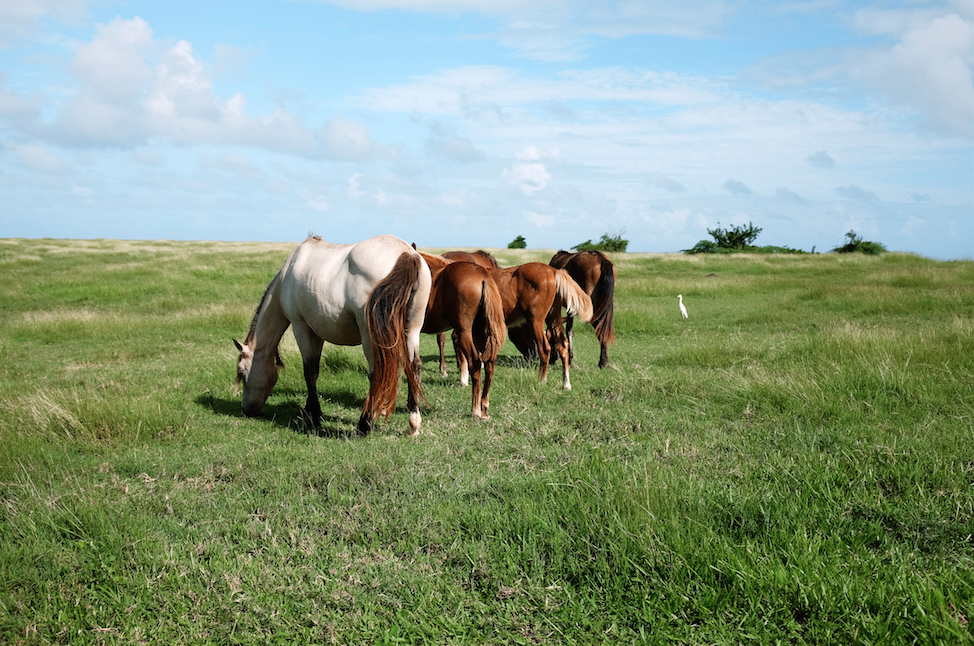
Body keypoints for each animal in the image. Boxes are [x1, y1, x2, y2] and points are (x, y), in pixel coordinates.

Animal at [233, 235, 432, 436]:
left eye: (241, 372)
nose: (247, 410)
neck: (286, 276)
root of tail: (406, 253)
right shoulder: (317, 332)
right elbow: (314, 371)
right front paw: (308, 410)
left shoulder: (301, 327)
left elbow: (309, 372)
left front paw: (315, 416)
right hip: (411, 329)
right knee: (413, 366)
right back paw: (413, 423)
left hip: (370, 335)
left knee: (376, 373)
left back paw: (363, 425)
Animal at [418, 252, 506, 419]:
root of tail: (483, 277)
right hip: (480, 332)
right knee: (489, 364)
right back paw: (484, 407)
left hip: (464, 331)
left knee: (475, 362)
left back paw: (475, 409)